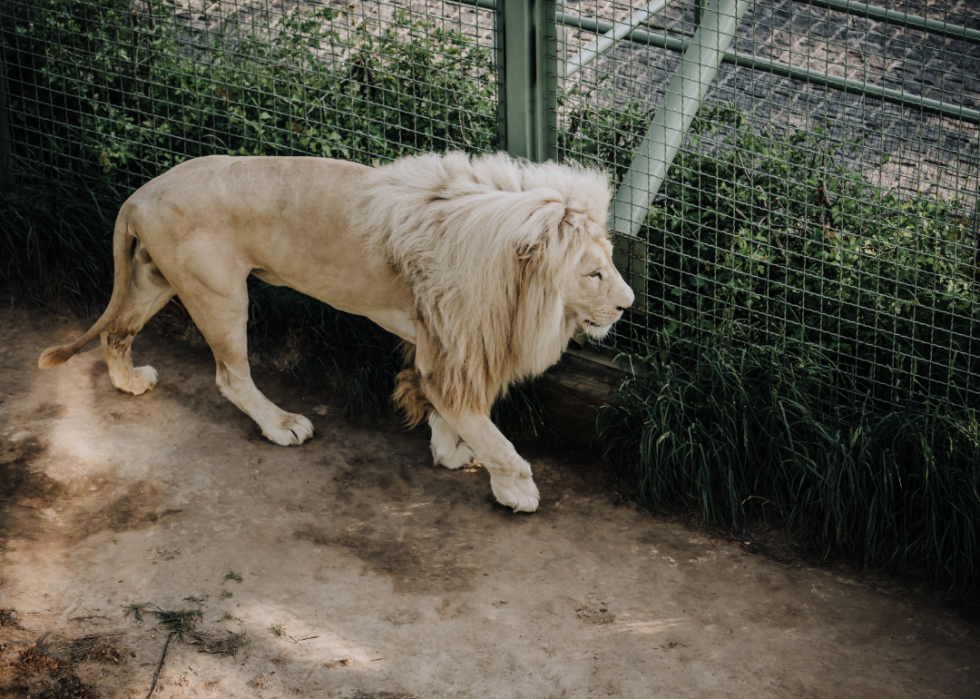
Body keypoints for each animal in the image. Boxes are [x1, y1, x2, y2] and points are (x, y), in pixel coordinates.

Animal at [38, 152, 632, 516]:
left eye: (609, 263)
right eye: (594, 274)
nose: (628, 305)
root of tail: (140, 194)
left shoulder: (442, 338)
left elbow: (447, 407)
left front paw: (448, 451)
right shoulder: (450, 342)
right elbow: (486, 428)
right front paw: (515, 487)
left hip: (154, 278)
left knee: (116, 332)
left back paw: (128, 382)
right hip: (220, 292)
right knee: (230, 377)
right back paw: (281, 425)